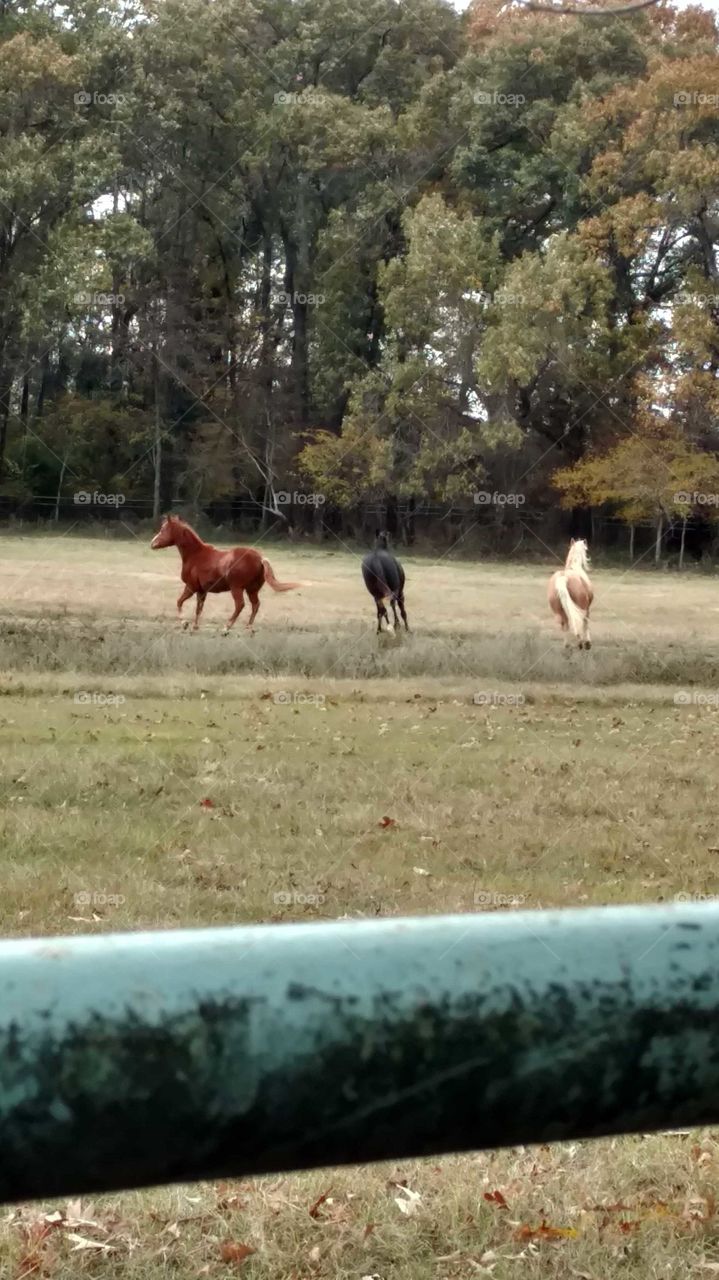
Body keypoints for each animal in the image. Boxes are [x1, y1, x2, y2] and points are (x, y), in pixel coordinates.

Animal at [148, 512, 299, 627]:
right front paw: (194, 628)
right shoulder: (202, 591)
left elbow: (179, 602)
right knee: (255, 605)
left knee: (240, 605)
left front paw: (184, 623)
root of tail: (260, 559)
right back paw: (249, 629)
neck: (195, 555)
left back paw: (226, 628)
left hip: (237, 588)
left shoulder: (191, 587)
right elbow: (198, 609)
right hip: (252, 589)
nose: (152, 543)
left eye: (163, 529)